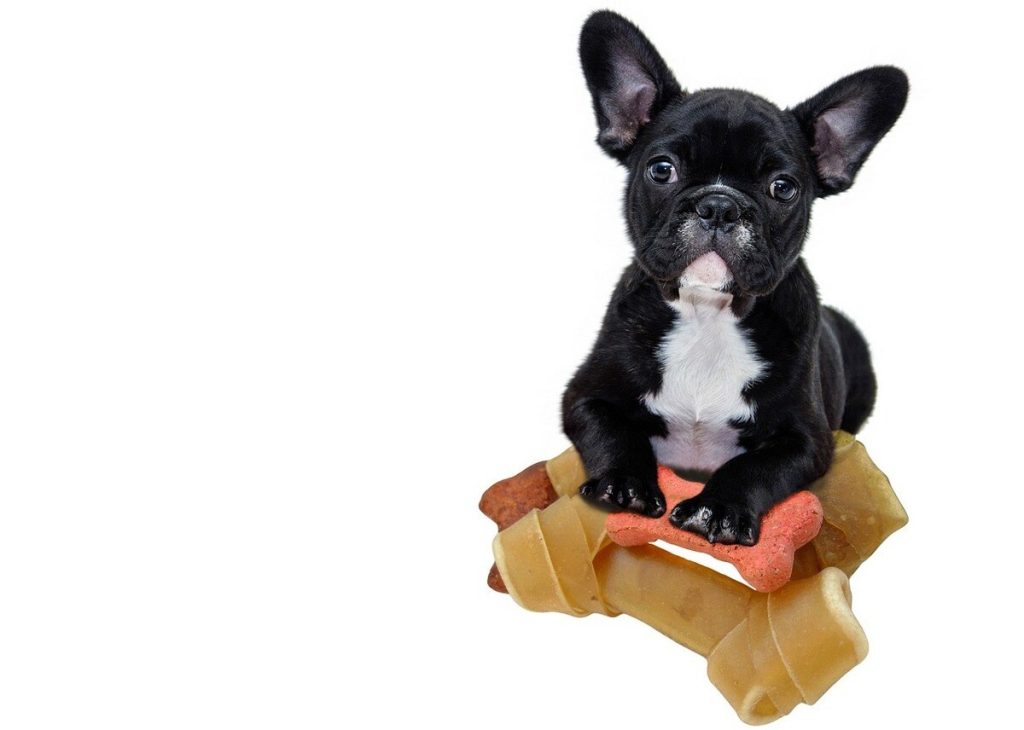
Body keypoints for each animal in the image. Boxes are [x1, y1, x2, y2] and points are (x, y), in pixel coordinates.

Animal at [565, 11, 909, 544]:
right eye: (661, 169)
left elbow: (754, 468)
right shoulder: (583, 395)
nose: (719, 205)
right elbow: (612, 431)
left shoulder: (806, 439)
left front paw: (718, 509)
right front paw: (624, 484)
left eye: (783, 188)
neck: (706, 316)